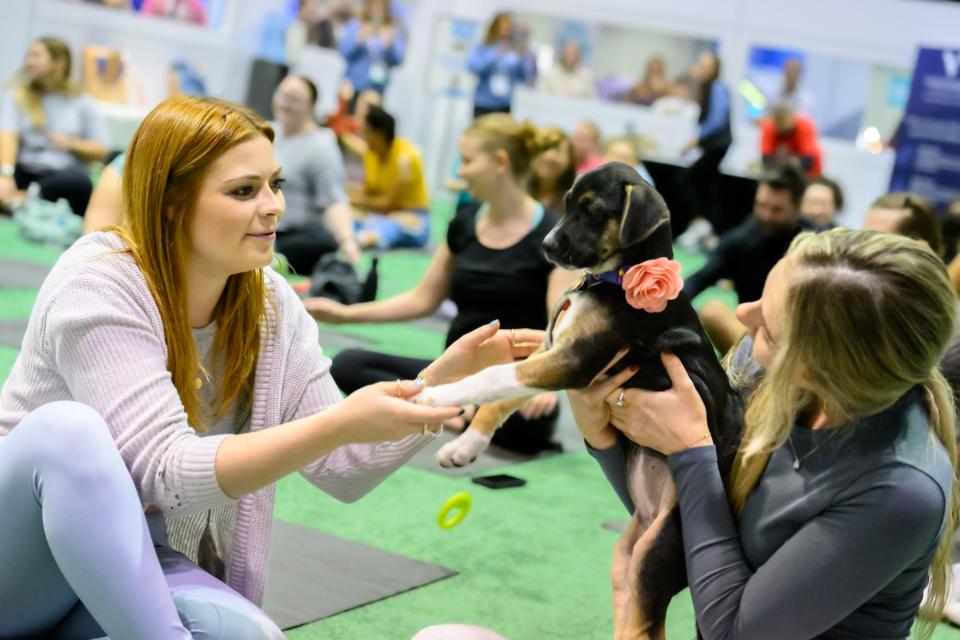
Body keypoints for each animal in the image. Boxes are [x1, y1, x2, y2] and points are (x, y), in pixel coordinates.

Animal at [418, 161, 744, 640]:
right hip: (627, 556)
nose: (548, 246)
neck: (614, 278)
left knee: (643, 626)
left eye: (592, 211)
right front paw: (465, 447)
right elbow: (501, 398)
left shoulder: (574, 360)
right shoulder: (551, 348)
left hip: (657, 554)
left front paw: (437, 392)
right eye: (568, 203)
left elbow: (491, 376)